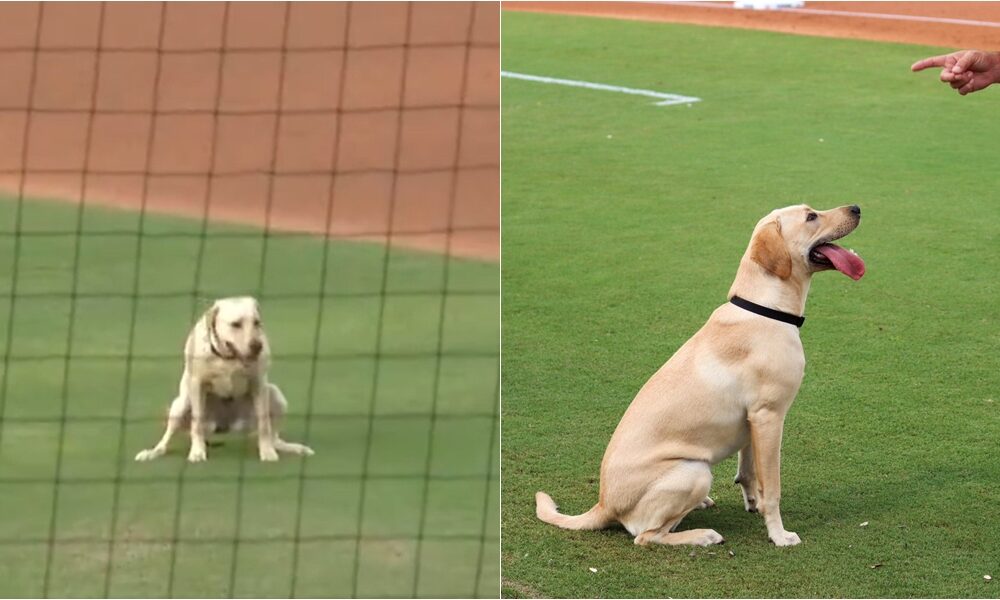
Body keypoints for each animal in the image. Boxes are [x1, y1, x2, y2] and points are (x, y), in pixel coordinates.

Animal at [133, 298, 312, 462]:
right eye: (236, 324)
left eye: (256, 322)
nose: (257, 346)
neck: (227, 358)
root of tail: (225, 427)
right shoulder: (196, 384)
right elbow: (196, 424)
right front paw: (197, 452)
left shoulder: (259, 383)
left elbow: (264, 424)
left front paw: (267, 452)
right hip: (181, 404)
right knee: (169, 437)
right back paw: (154, 452)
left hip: (275, 395)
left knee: (273, 436)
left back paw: (290, 447)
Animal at [536, 204, 864, 548]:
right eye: (811, 216)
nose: (856, 208)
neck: (765, 308)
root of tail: (603, 504)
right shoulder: (770, 417)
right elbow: (773, 488)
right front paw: (778, 534)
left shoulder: (753, 421)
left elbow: (749, 472)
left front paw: (754, 504)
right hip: (694, 472)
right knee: (646, 536)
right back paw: (703, 534)